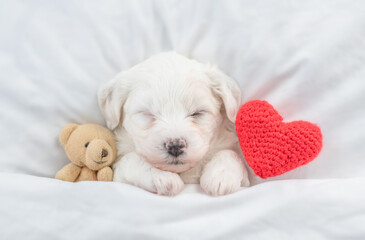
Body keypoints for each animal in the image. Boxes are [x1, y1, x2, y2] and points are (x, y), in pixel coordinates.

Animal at [98, 52, 249, 195]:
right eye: (147, 113)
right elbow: (130, 158)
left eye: (197, 113)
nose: (175, 146)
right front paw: (162, 176)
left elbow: (232, 154)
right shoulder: (118, 175)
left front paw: (221, 175)